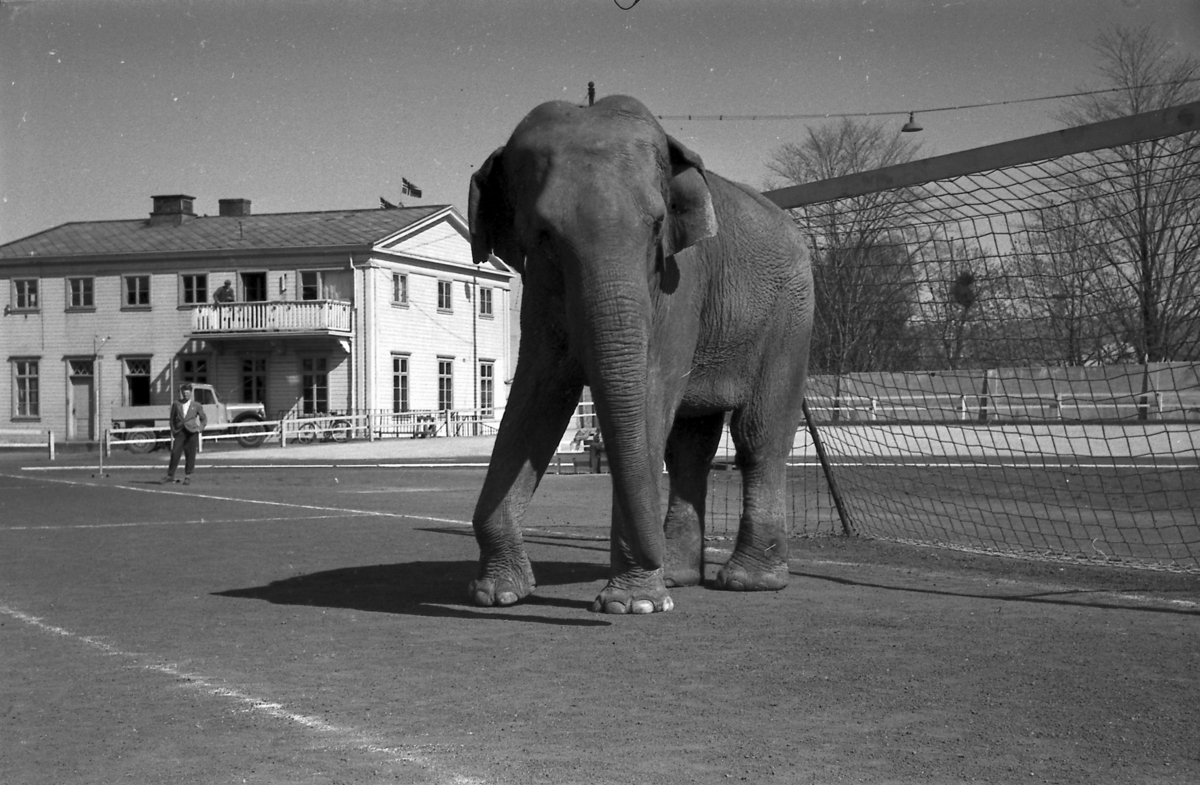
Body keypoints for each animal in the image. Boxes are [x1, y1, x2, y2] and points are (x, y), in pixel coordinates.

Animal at [468, 95, 816, 619]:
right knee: (690, 445)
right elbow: (538, 393)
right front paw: (497, 594)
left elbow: (651, 391)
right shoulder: (539, 288)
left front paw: (633, 605)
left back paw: (747, 582)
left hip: (791, 316)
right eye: (544, 235)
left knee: (759, 433)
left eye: (656, 226)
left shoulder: (681, 279)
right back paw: (678, 576)